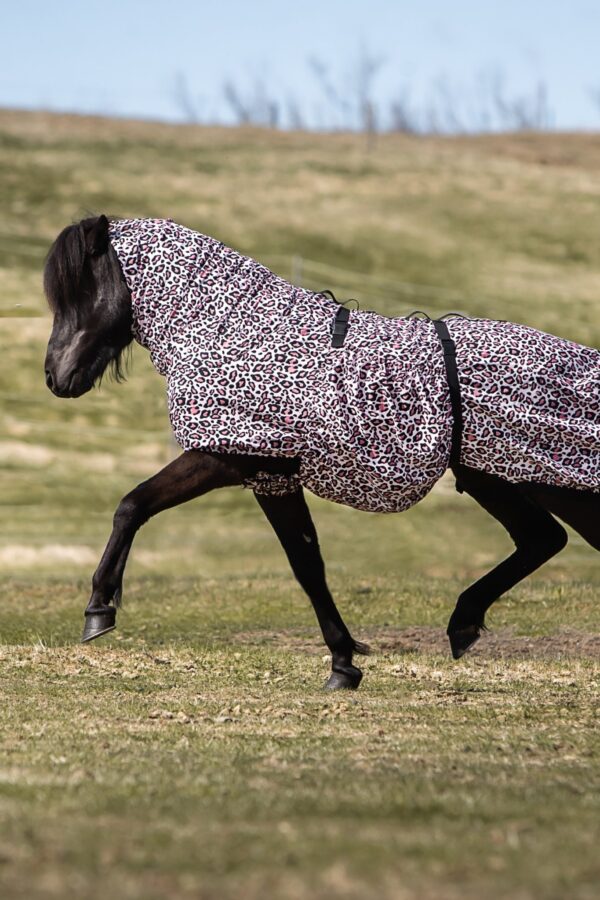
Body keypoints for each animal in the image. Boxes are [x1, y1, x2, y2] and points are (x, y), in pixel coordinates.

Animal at [43, 214, 600, 690]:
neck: (233, 331)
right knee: (541, 539)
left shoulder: (232, 459)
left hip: (546, 479)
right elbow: (307, 564)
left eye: (79, 291)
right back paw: (462, 624)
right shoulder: (273, 477)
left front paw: (99, 607)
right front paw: (344, 663)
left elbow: (133, 504)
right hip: (497, 477)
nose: (55, 377)